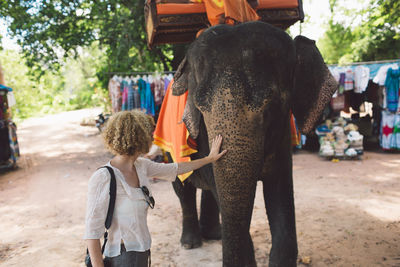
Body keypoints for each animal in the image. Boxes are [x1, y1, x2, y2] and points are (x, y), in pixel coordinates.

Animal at [169, 21, 338, 267]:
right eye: (200, 108)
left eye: (272, 105)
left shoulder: (283, 142)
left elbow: (280, 193)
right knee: (183, 190)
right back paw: (190, 244)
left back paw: (214, 235)